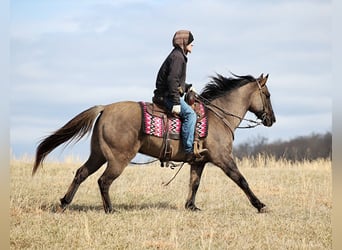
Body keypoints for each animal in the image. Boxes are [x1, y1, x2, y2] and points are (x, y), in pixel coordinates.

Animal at [33, 72, 276, 213]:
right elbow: (241, 180)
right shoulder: (223, 159)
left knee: (81, 174)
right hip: (118, 159)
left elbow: (194, 184)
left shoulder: (198, 162)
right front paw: (260, 205)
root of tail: (105, 108)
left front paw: (191, 206)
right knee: (103, 181)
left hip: (98, 155)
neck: (218, 117)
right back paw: (109, 209)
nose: (271, 120)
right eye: (268, 95)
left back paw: (64, 203)